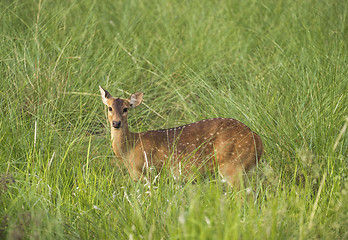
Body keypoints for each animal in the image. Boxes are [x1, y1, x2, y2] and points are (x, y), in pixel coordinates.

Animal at [99, 85, 262, 187]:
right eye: (110, 108)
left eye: (126, 109)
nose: (116, 123)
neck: (130, 149)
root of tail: (256, 139)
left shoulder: (151, 172)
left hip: (233, 165)